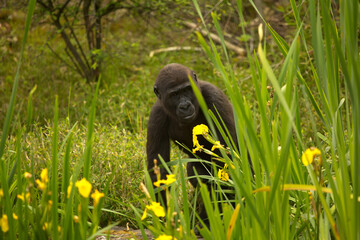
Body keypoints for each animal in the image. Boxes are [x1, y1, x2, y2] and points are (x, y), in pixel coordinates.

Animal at [146, 62, 239, 195]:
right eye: (174, 94)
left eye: (187, 89)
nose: (185, 106)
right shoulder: (156, 115)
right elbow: (159, 170)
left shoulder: (214, 96)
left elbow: (227, 153)